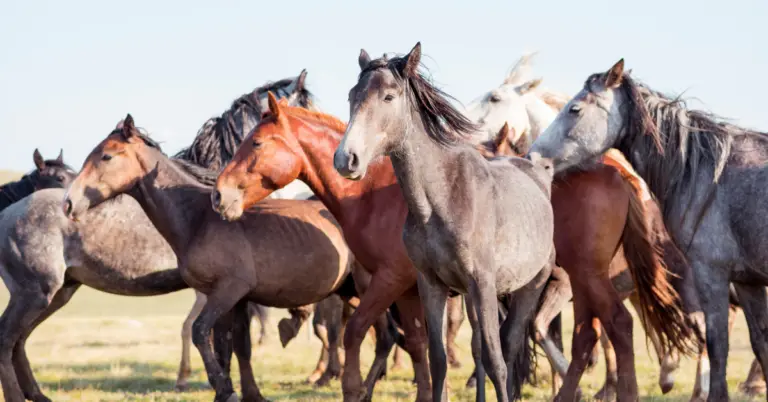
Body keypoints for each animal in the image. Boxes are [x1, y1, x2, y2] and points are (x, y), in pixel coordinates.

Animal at [0, 73, 321, 402]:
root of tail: (8, 214)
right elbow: (219, 339)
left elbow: (230, 342)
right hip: (34, 293)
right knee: (7, 341)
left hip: (55, 294)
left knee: (19, 341)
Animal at [62, 115, 357, 402]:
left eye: (107, 156)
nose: (68, 203)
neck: (199, 218)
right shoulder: (228, 299)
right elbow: (231, 346)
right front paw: (244, 393)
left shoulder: (228, 292)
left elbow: (201, 332)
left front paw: (227, 390)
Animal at [331, 43, 560, 402]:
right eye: (353, 95)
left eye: (388, 96)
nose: (346, 159)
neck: (440, 200)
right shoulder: (432, 285)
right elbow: (438, 360)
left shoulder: (483, 285)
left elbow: (496, 361)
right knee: (480, 346)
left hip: (527, 287)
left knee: (507, 347)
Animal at [530, 58, 768, 401]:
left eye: (574, 109)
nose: (533, 156)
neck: (707, 176)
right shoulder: (748, 282)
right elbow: (761, 343)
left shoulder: (712, 274)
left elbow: (717, 345)